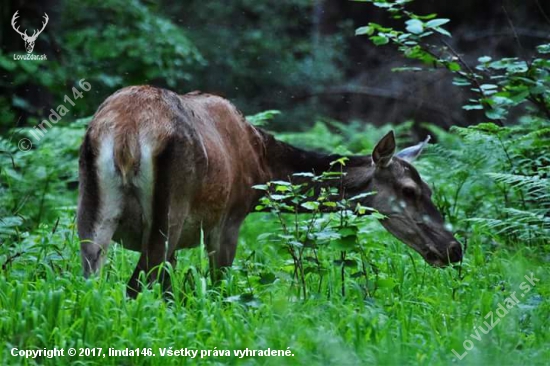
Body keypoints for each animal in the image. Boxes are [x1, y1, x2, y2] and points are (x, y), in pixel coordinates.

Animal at [77, 85, 464, 298]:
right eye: (409, 190)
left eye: (429, 188)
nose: (454, 248)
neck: (262, 166)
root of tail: (127, 132)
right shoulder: (228, 221)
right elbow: (217, 286)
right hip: (169, 212)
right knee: (136, 284)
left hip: (93, 213)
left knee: (91, 280)